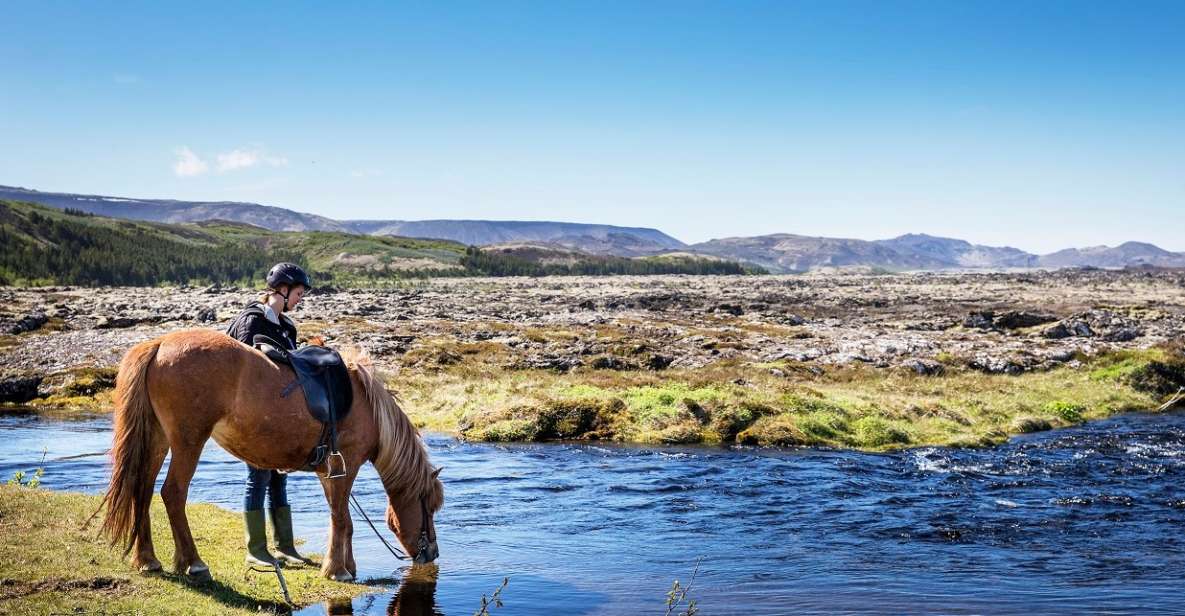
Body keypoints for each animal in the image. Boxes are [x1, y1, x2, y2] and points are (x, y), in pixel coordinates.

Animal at [98, 329, 445, 580]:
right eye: (427, 505)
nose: (433, 554)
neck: (366, 406)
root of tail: (159, 344)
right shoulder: (345, 467)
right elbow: (342, 518)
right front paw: (338, 571)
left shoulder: (328, 472)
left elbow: (341, 517)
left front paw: (347, 565)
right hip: (188, 442)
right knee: (172, 493)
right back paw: (194, 563)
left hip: (158, 439)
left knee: (142, 490)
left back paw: (148, 560)